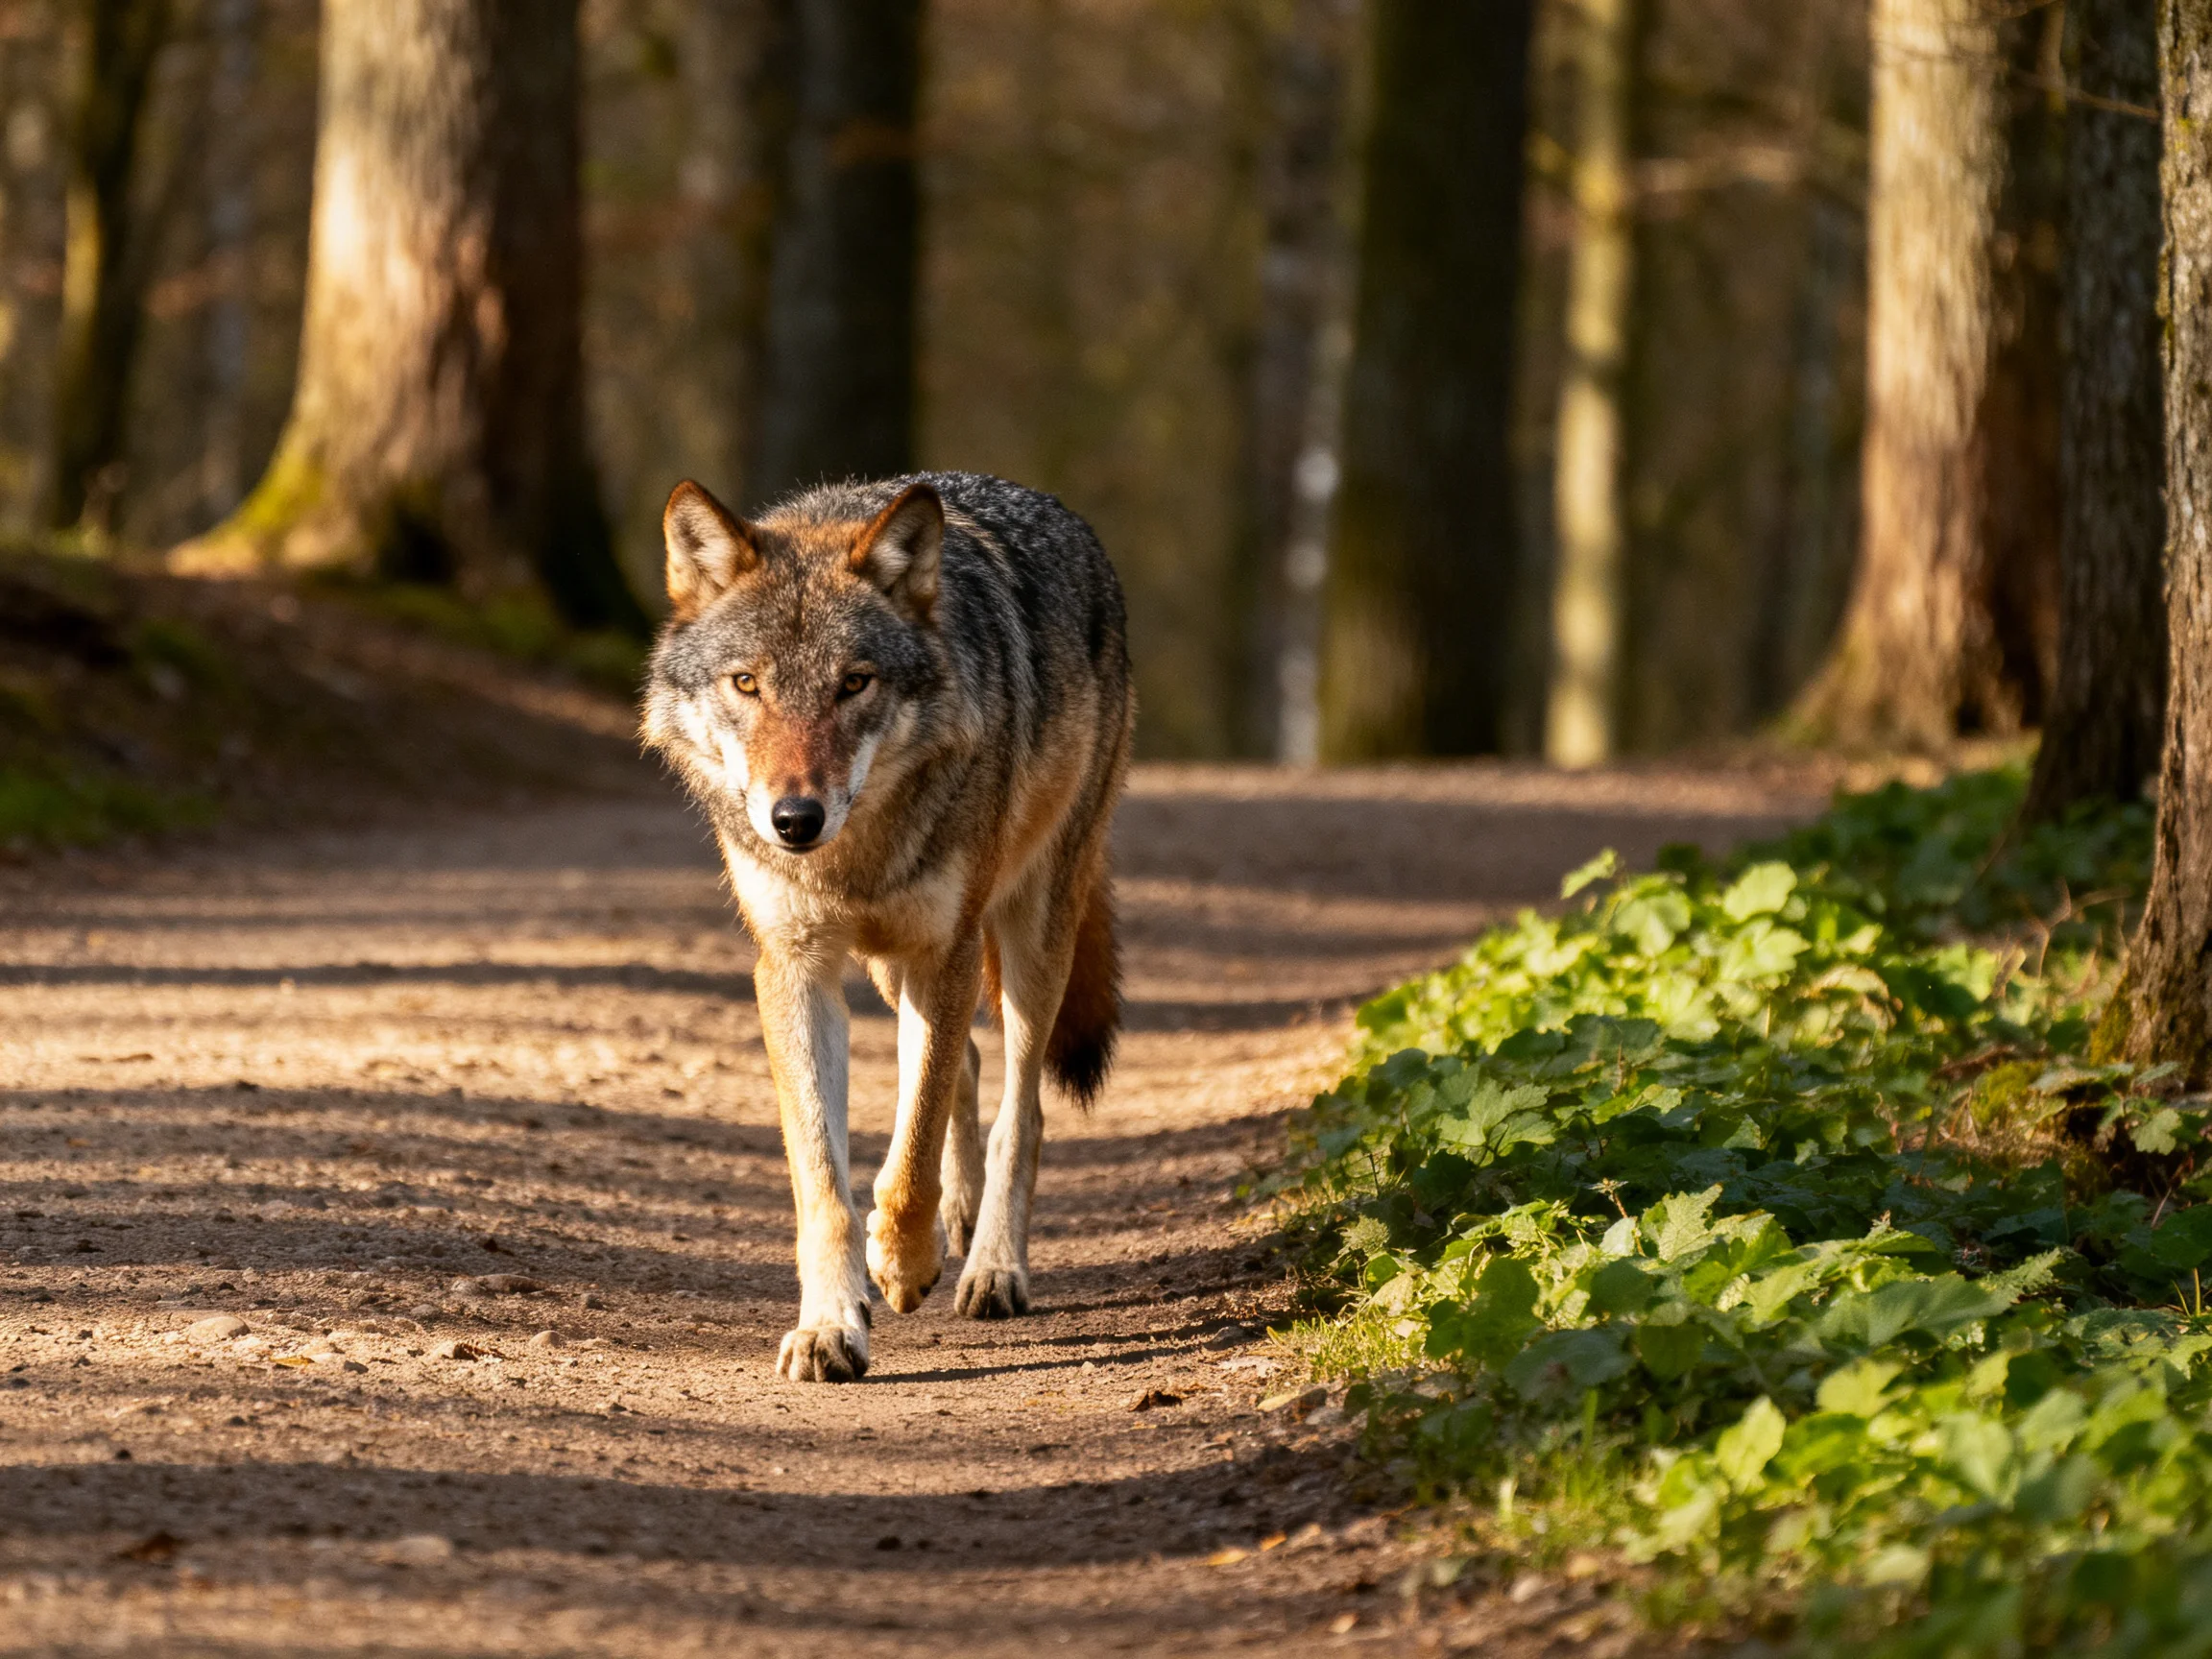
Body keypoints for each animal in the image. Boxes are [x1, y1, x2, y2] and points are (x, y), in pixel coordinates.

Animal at [641, 471, 1134, 1382]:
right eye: (747, 684)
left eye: (854, 683)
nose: (793, 819)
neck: (852, 856)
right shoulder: (794, 970)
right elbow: (825, 1180)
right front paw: (831, 1325)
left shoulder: (945, 951)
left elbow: (910, 1154)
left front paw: (902, 1265)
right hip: (892, 966)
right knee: (961, 1067)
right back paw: (960, 1222)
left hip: (1030, 931)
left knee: (1018, 1109)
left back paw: (991, 1267)